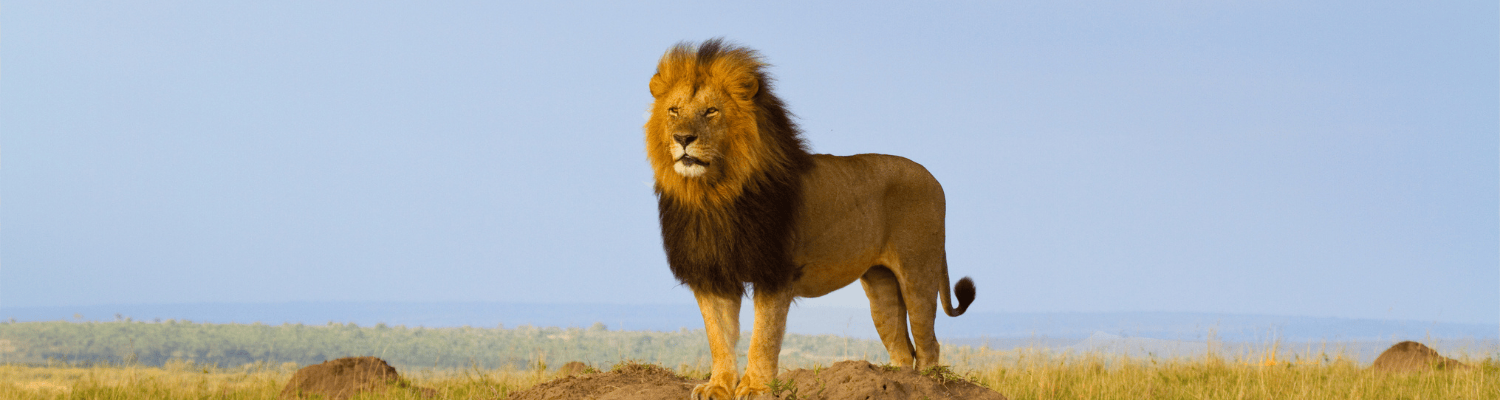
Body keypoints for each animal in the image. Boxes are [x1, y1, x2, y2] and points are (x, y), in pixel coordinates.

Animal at [645, 39, 976, 400]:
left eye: (711, 111)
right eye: (674, 111)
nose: (682, 138)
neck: (713, 195)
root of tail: (933, 177)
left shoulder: (775, 272)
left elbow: (763, 337)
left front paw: (756, 387)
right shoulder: (712, 275)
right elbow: (718, 337)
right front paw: (718, 386)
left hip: (918, 271)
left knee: (929, 345)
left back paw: (926, 385)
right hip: (881, 285)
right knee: (902, 348)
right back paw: (891, 384)